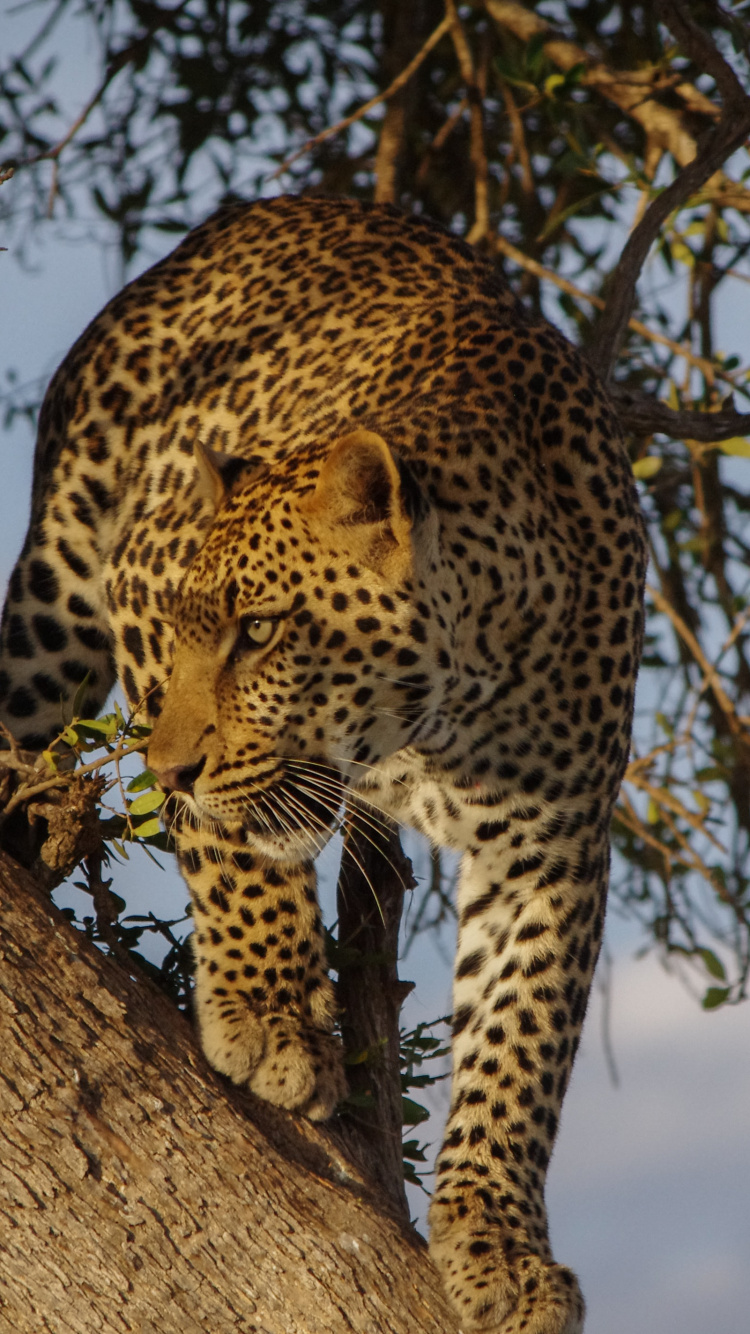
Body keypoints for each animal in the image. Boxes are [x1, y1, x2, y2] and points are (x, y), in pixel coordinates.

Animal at [0, 193, 643, 1328]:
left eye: (260, 631)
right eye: (192, 626)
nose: (166, 769)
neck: (443, 711)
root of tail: (256, 213)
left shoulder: (554, 843)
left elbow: (521, 1043)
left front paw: (502, 1246)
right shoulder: (138, 578)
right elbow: (234, 850)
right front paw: (268, 1015)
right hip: (63, 578)